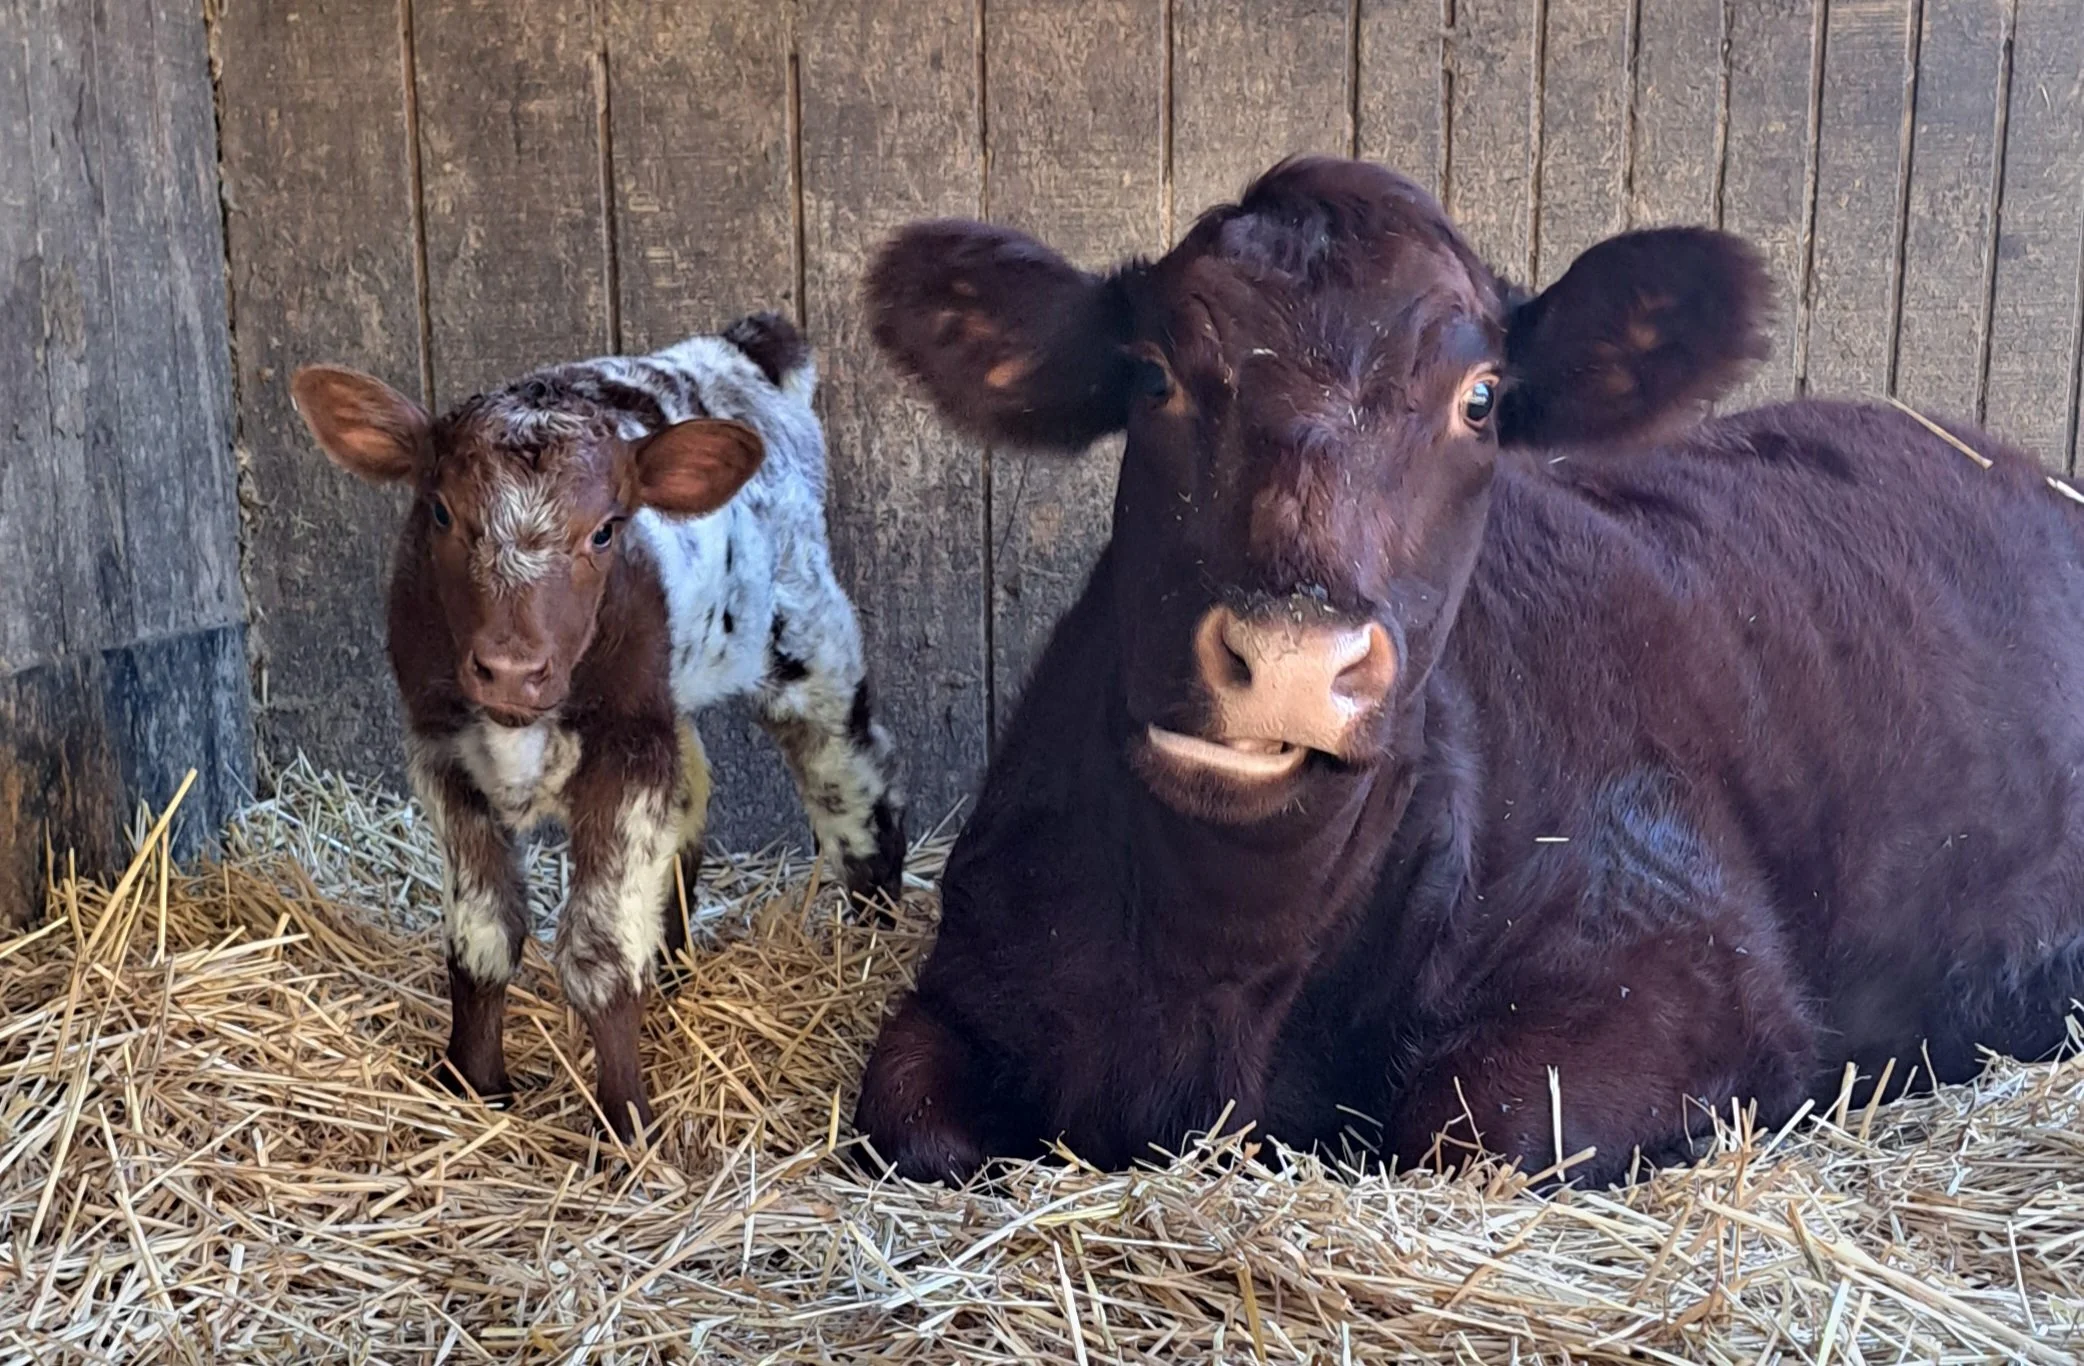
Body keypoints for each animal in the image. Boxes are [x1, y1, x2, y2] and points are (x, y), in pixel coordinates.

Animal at [290, 314, 906, 1141]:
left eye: (607, 532)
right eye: (442, 513)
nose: (511, 669)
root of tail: (741, 348)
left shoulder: (625, 753)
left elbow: (598, 953)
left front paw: (627, 1127)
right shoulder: (443, 755)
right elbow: (481, 939)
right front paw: (472, 1085)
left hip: (806, 631)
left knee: (852, 780)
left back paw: (874, 933)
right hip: (668, 695)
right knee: (694, 793)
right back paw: (673, 967)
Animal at [852, 157, 2084, 1187]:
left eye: (1479, 399)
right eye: (1153, 377)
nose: (1292, 654)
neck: (1216, 965)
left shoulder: (1696, 967)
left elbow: (1475, 1122)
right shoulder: (971, 973)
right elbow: (902, 1112)